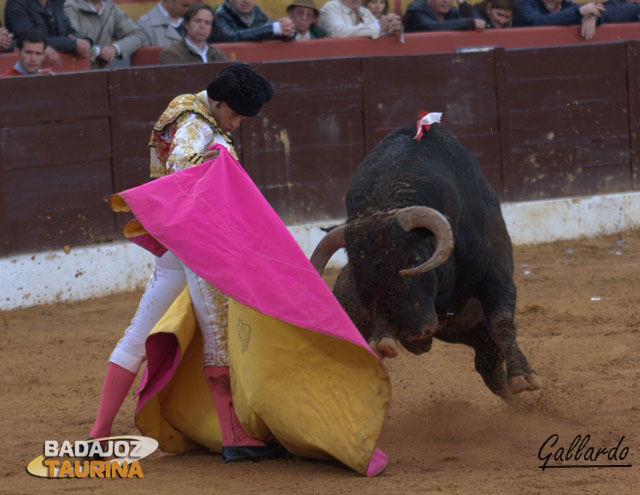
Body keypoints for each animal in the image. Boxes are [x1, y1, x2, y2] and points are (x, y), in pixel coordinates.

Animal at [312, 125, 544, 400]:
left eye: (417, 259)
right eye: (361, 273)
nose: (415, 332)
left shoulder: (496, 275)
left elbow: (502, 322)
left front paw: (524, 376)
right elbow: (380, 311)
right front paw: (384, 340)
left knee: (493, 369)